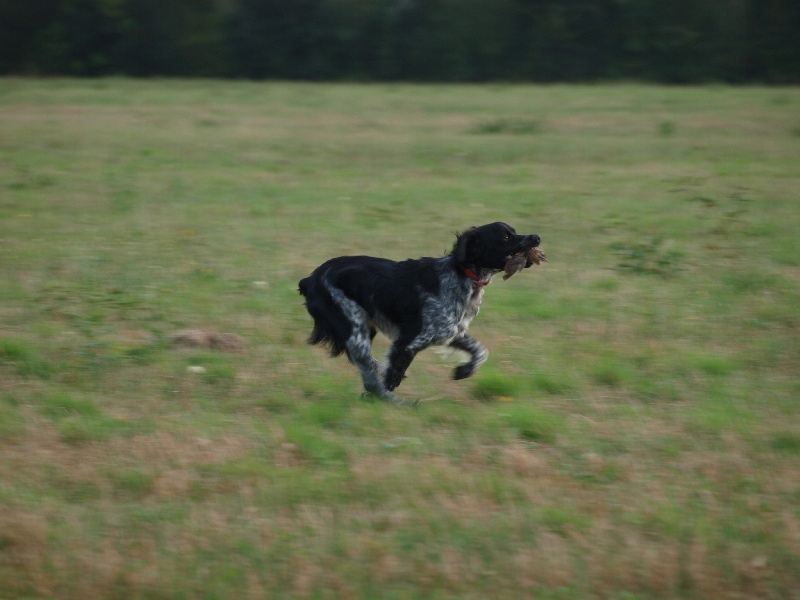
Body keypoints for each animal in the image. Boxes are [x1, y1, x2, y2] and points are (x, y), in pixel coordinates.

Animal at [300, 221, 544, 404]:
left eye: (514, 232)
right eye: (506, 238)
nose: (537, 237)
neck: (461, 276)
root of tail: (310, 279)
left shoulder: (451, 332)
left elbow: (480, 350)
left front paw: (464, 370)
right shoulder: (409, 341)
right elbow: (392, 377)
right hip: (355, 332)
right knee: (371, 378)